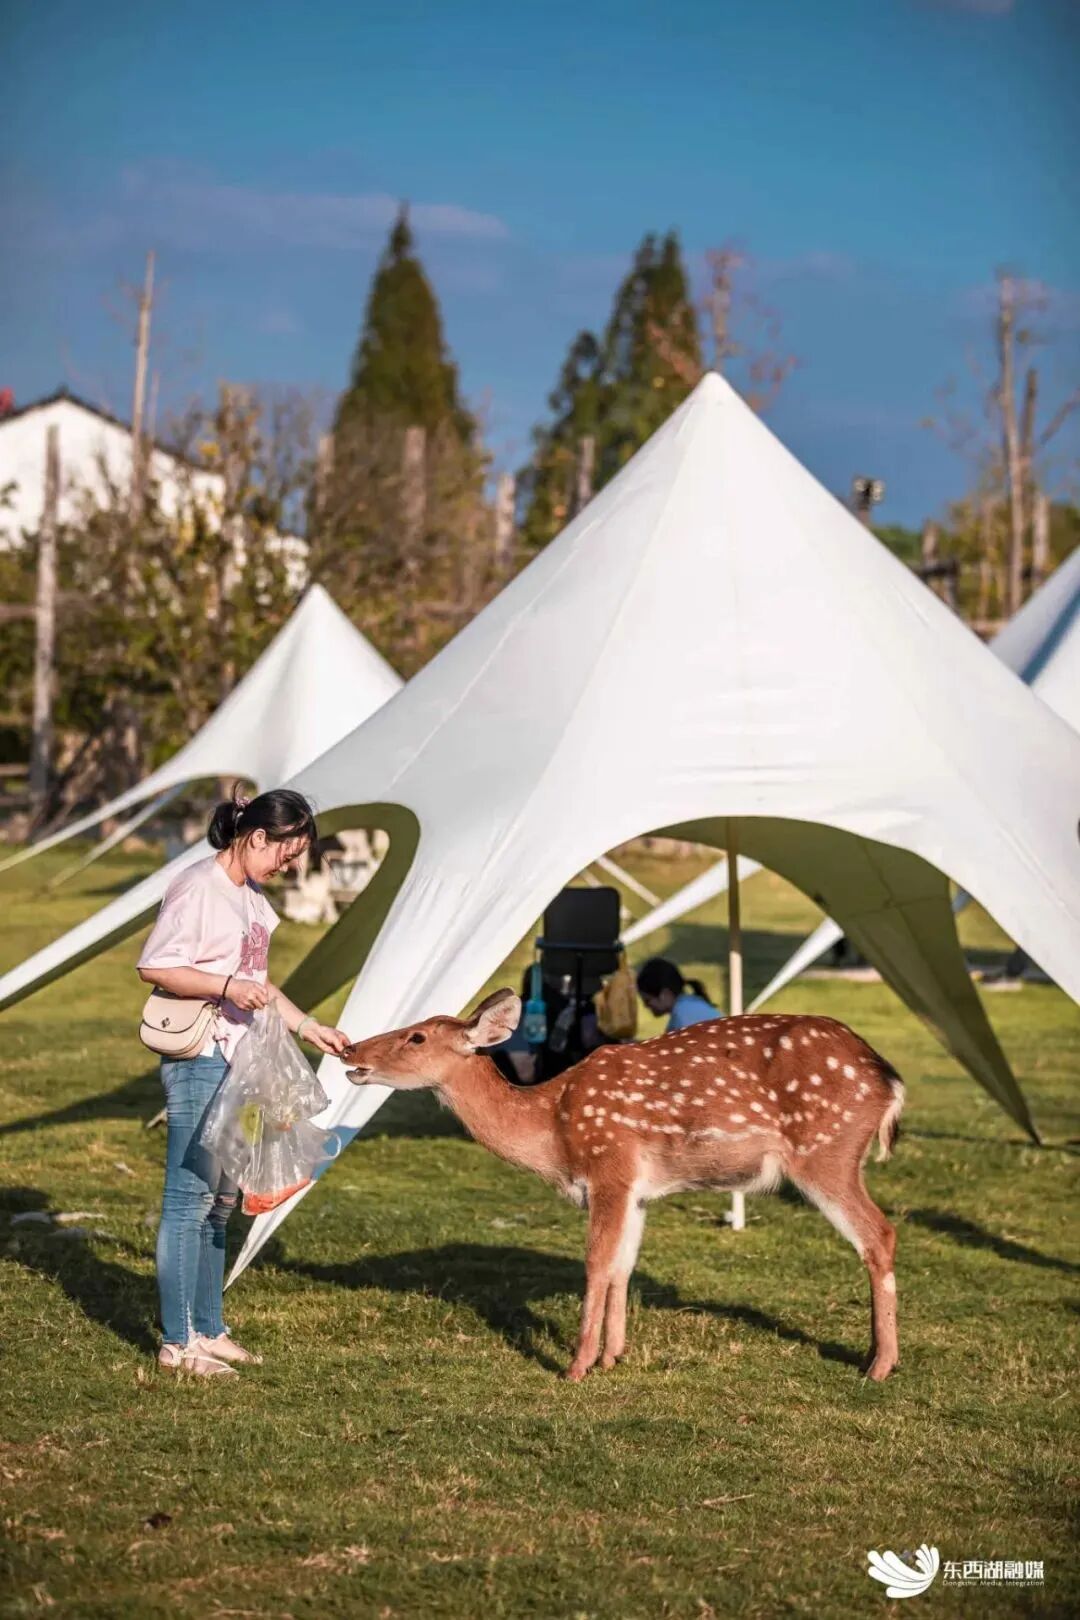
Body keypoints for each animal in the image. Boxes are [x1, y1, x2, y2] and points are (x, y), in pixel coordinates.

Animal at [343, 989, 905, 1383]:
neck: (552, 1128)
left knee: (879, 1233)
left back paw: (880, 1365)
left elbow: (596, 1263)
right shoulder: (636, 1189)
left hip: (826, 1152)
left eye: (416, 1037)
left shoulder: (608, 1164)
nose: (349, 1050)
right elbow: (622, 1265)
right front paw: (613, 1357)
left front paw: (576, 1366)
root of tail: (889, 1080)